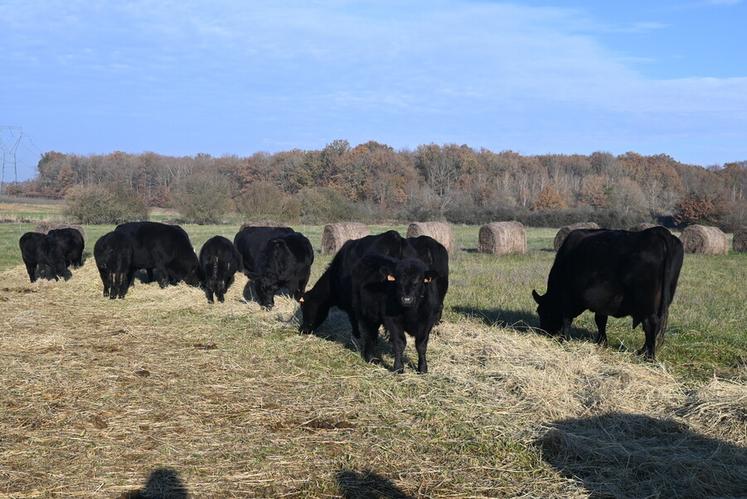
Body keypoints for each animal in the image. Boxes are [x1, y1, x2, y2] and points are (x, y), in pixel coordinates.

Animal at [532, 226, 684, 360]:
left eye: (542, 312)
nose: (544, 333)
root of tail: (657, 232)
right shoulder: (602, 302)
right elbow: (600, 320)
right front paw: (601, 342)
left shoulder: (567, 297)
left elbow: (567, 319)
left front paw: (564, 339)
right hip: (662, 302)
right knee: (654, 326)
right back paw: (642, 351)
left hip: (645, 302)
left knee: (650, 324)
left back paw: (649, 357)